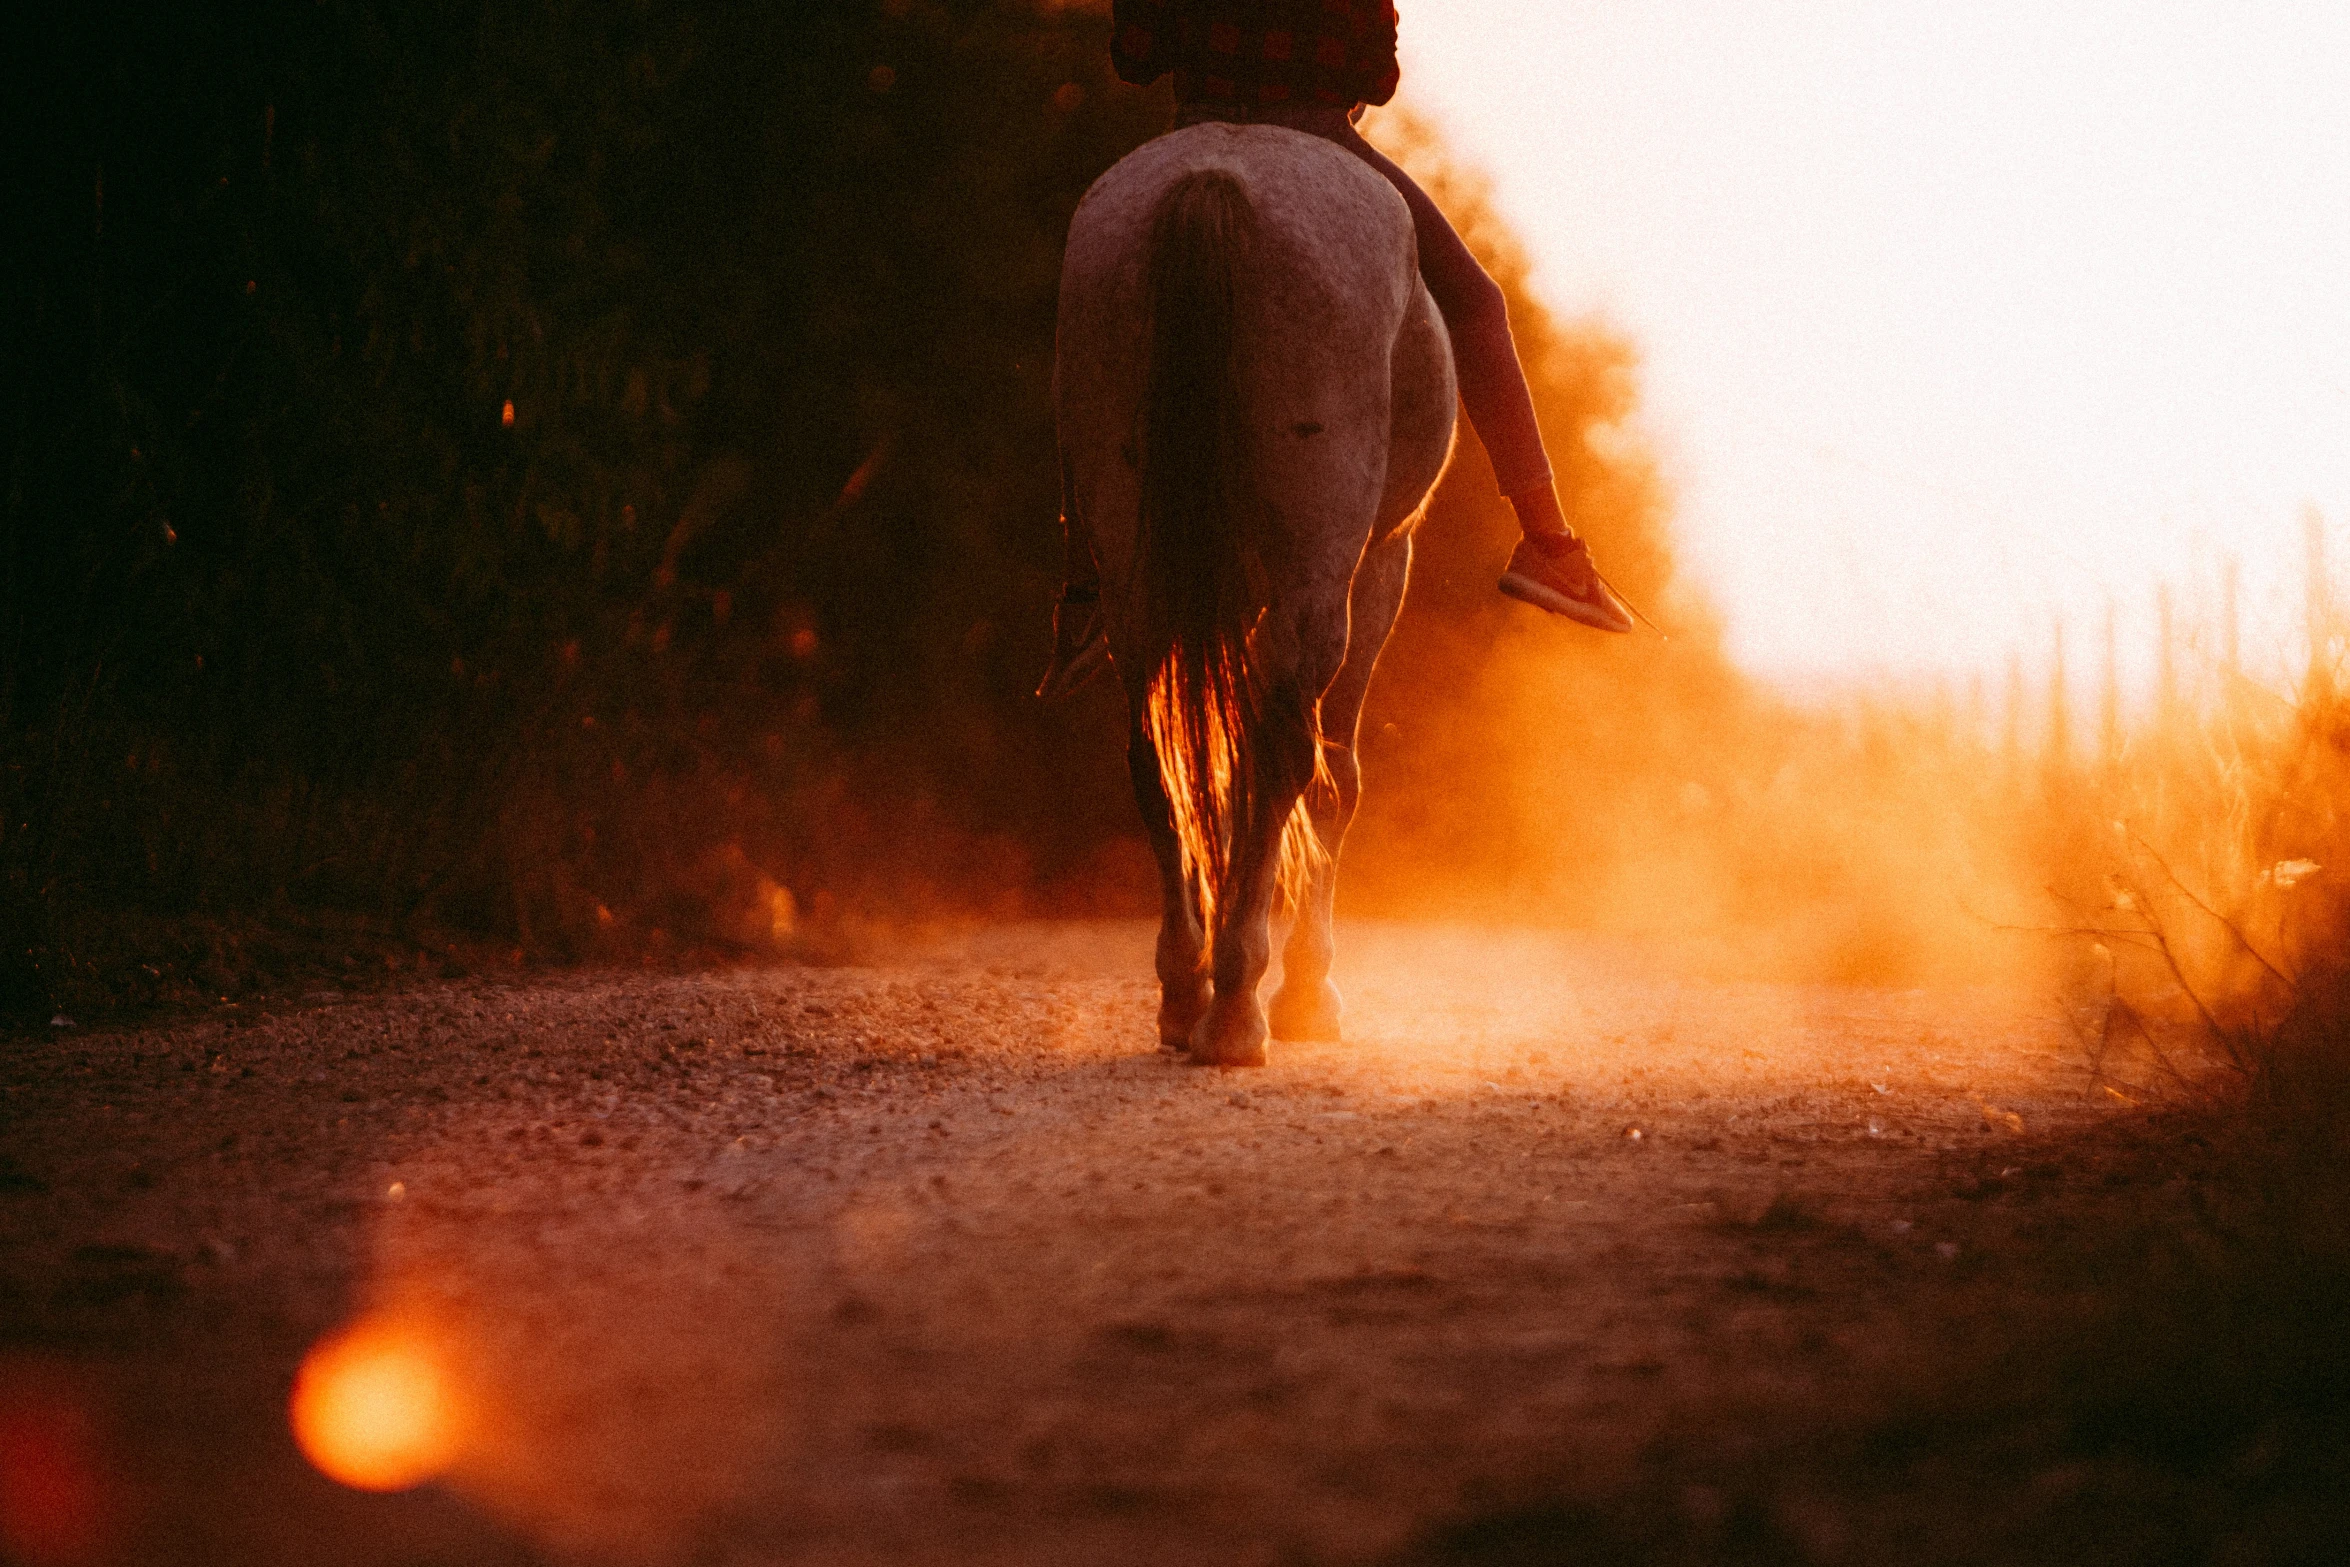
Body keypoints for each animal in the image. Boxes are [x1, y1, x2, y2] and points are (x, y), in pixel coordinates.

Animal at [1062, 125, 1457, 1066]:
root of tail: (1214, 181)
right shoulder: (1381, 566)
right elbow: (1335, 778)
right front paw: (1312, 993)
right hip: (1324, 567)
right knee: (1289, 757)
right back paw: (1240, 1004)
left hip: (1135, 568)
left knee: (1152, 752)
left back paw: (1184, 993)